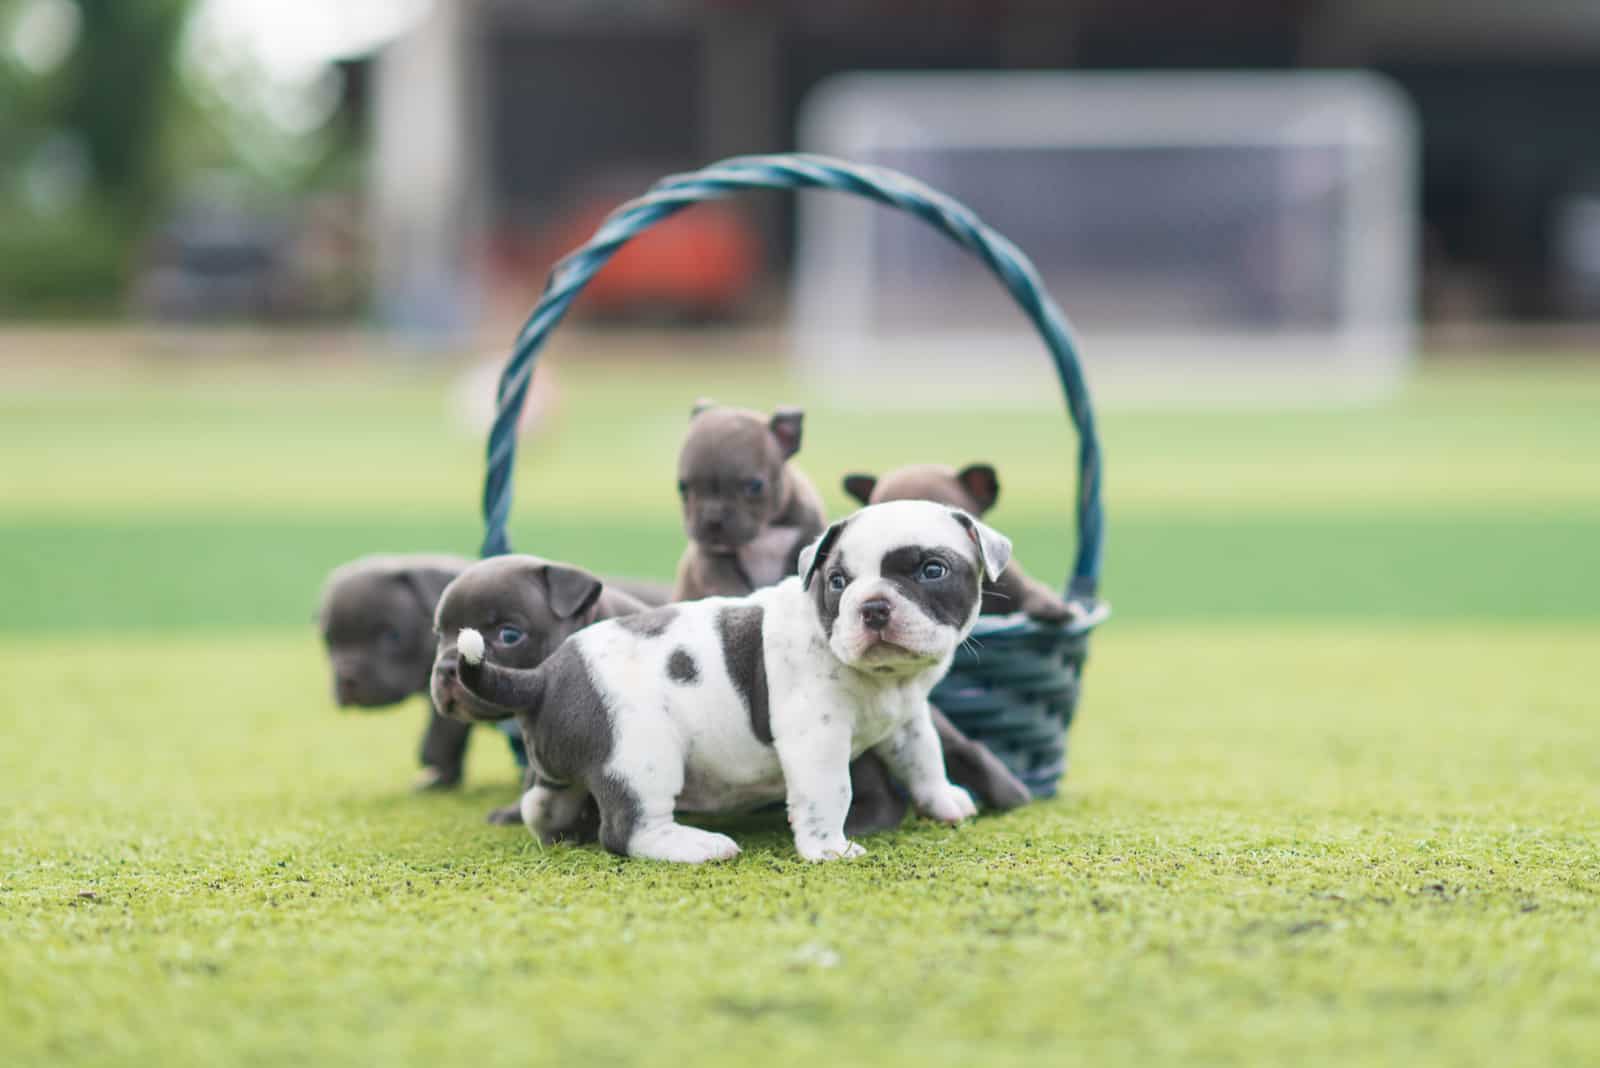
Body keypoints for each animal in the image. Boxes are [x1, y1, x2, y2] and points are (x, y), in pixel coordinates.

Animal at [435, 498, 1011, 856]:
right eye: (837, 582)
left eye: (932, 570)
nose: (871, 607)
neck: (884, 678)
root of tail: (543, 678)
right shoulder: (816, 741)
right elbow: (830, 792)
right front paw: (828, 849)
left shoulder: (909, 721)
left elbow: (924, 760)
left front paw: (944, 802)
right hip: (643, 760)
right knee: (627, 831)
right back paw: (696, 846)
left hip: (563, 767)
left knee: (541, 801)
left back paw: (558, 831)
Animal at [672, 399, 825, 601]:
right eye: (682, 487)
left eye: (754, 486)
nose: (712, 518)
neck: (764, 533)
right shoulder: (713, 562)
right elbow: (732, 588)